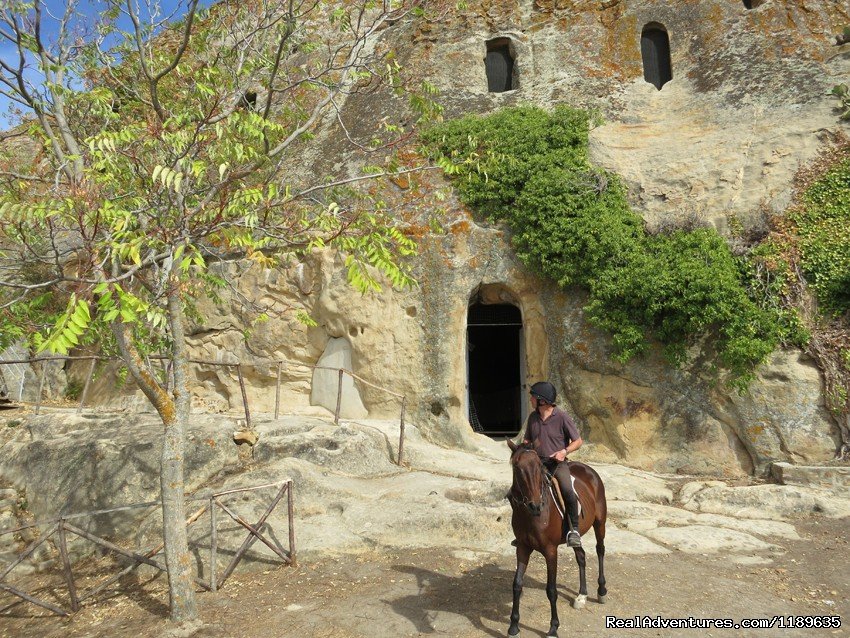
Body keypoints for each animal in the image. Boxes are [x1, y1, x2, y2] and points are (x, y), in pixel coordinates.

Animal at [504, 440, 604, 638]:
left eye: (539, 467)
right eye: (517, 467)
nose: (535, 506)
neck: (533, 516)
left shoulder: (550, 551)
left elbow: (551, 590)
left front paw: (553, 628)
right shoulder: (523, 548)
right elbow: (517, 584)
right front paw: (513, 626)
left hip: (600, 522)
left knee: (600, 550)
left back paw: (602, 590)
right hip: (576, 534)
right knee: (581, 556)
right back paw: (581, 596)